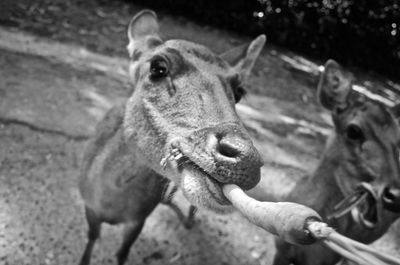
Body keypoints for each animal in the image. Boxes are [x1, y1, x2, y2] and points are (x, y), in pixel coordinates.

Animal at [78, 9, 266, 264]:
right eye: (158, 67)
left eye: (239, 91)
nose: (247, 160)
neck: (110, 203)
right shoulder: (89, 208)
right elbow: (91, 240)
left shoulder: (139, 218)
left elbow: (122, 253)